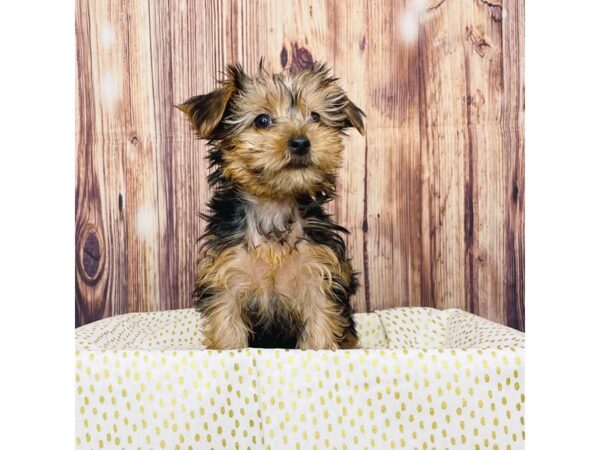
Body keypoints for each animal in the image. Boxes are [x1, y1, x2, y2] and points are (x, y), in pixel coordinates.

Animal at [177, 61, 366, 350]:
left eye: (315, 117)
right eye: (262, 120)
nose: (301, 142)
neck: (274, 204)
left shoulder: (319, 277)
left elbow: (320, 329)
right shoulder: (228, 276)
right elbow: (228, 330)